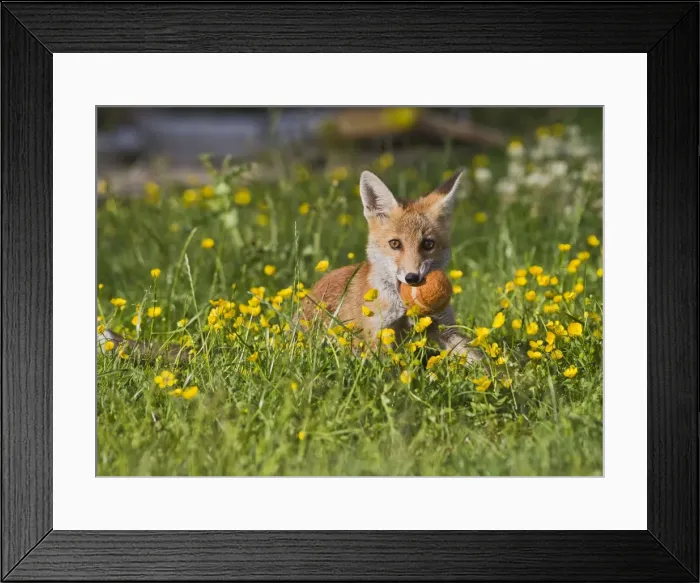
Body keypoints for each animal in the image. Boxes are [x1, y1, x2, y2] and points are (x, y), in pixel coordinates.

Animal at [302, 168, 481, 363]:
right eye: (395, 244)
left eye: (428, 244)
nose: (412, 278)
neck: (404, 310)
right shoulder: (379, 334)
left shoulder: (443, 326)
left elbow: (479, 358)